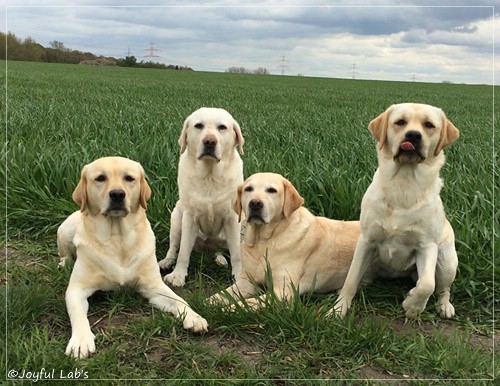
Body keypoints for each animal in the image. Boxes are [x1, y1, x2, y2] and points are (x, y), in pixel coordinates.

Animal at [57, 157, 208, 358]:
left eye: (129, 178)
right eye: (100, 178)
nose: (117, 194)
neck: (118, 238)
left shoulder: (154, 287)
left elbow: (179, 300)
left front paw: (194, 317)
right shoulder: (76, 288)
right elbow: (78, 315)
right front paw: (81, 341)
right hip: (65, 230)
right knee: (65, 253)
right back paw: (64, 264)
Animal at [209, 173, 362, 310]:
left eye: (272, 190)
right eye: (248, 189)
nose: (255, 204)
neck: (263, 241)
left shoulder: (282, 292)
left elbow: (246, 303)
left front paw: (224, 310)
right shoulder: (247, 282)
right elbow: (219, 295)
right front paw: (206, 306)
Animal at [334, 102, 458, 316]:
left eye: (429, 125)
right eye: (400, 122)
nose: (413, 135)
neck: (403, 184)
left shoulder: (427, 246)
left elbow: (427, 284)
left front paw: (413, 305)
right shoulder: (366, 241)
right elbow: (350, 279)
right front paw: (338, 309)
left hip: (447, 260)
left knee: (443, 288)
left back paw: (444, 306)